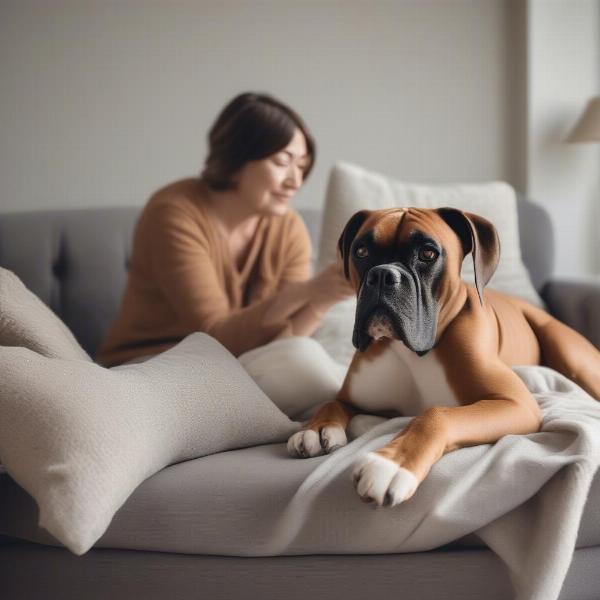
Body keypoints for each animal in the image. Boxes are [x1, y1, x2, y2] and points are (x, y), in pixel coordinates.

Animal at [288, 206, 600, 506]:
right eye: (361, 251)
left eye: (428, 253)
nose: (382, 275)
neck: (410, 351)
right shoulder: (352, 399)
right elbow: (331, 402)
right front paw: (316, 428)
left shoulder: (515, 403)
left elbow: (436, 414)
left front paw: (391, 463)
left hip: (568, 352)